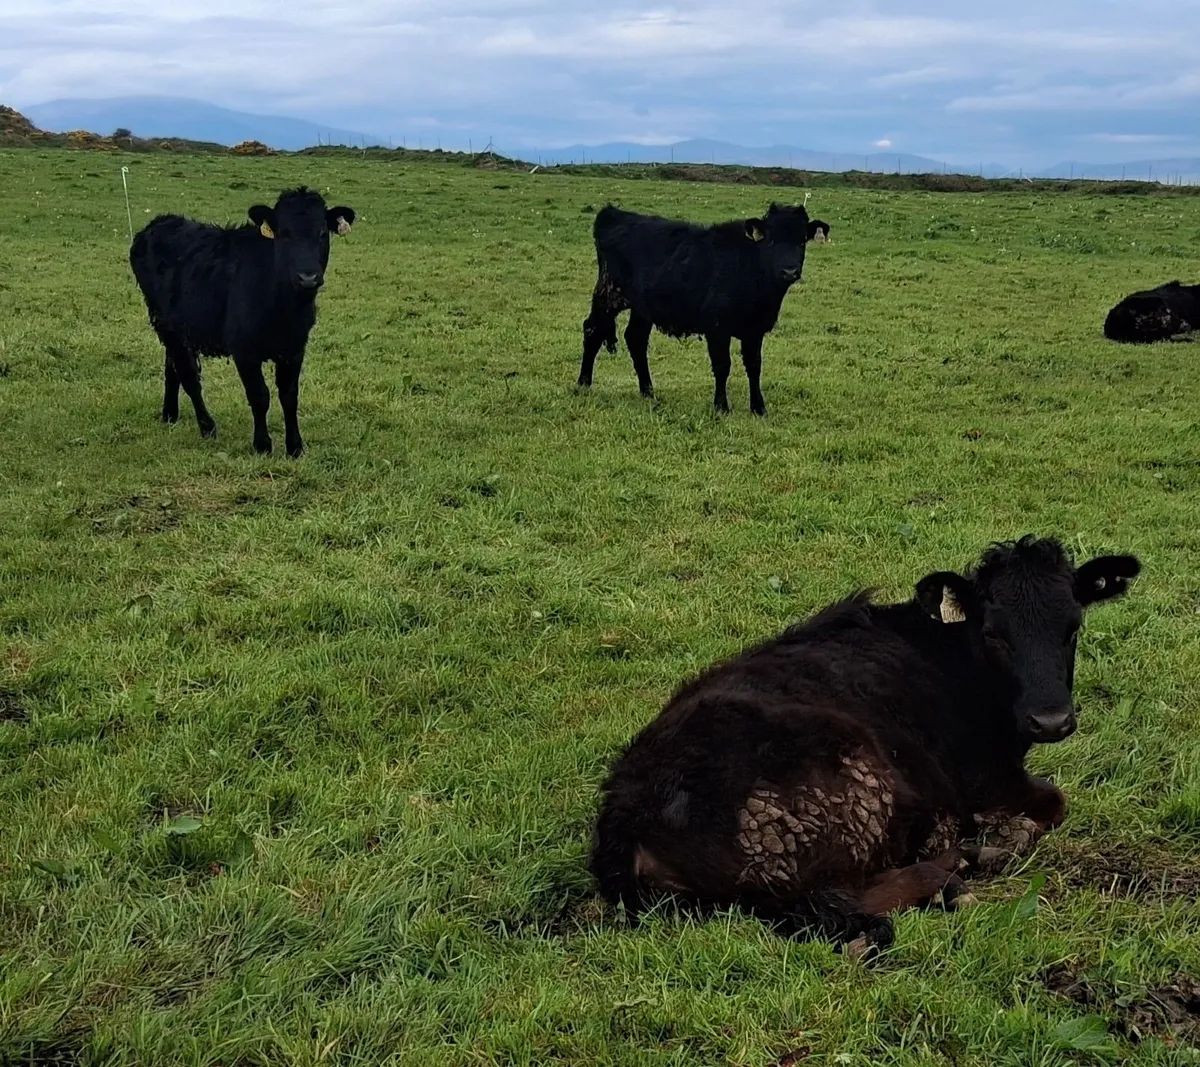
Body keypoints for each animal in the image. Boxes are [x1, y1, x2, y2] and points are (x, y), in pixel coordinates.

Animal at [130, 186, 356, 458]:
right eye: (284, 234)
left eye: (322, 233)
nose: (308, 277)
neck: (284, 308)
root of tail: (159, 222)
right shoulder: (244, 351)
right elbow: (259, 396)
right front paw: (262, 445)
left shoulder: (295, 348)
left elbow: (289, 396)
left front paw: (295, 447)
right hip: (164, 322)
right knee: (189, 376)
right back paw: (207, 426)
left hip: (179, 327)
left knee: (171, 367)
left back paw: (170, 415)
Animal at [577, 203, 826, 416]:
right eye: (771, 241)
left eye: (802, 242)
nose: (789, 271)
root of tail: (613, 213)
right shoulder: (717, 328)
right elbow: (722, 366)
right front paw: (721, 407)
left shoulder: (754, 330)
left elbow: (754, 366)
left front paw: (758, 408)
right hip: (608, 294)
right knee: (592, 331)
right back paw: (583, 384)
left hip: (642, 307)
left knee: (635, 339)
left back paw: (648, 392)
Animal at [590, 536, 1140, 955]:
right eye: (993, 633)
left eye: (1073, 627)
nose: (1051, 720)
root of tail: (626, 812)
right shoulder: (990, 780)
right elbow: (1055, 801)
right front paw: (1009, 834)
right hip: (847, 797)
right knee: (838, 901)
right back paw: (951, 875)